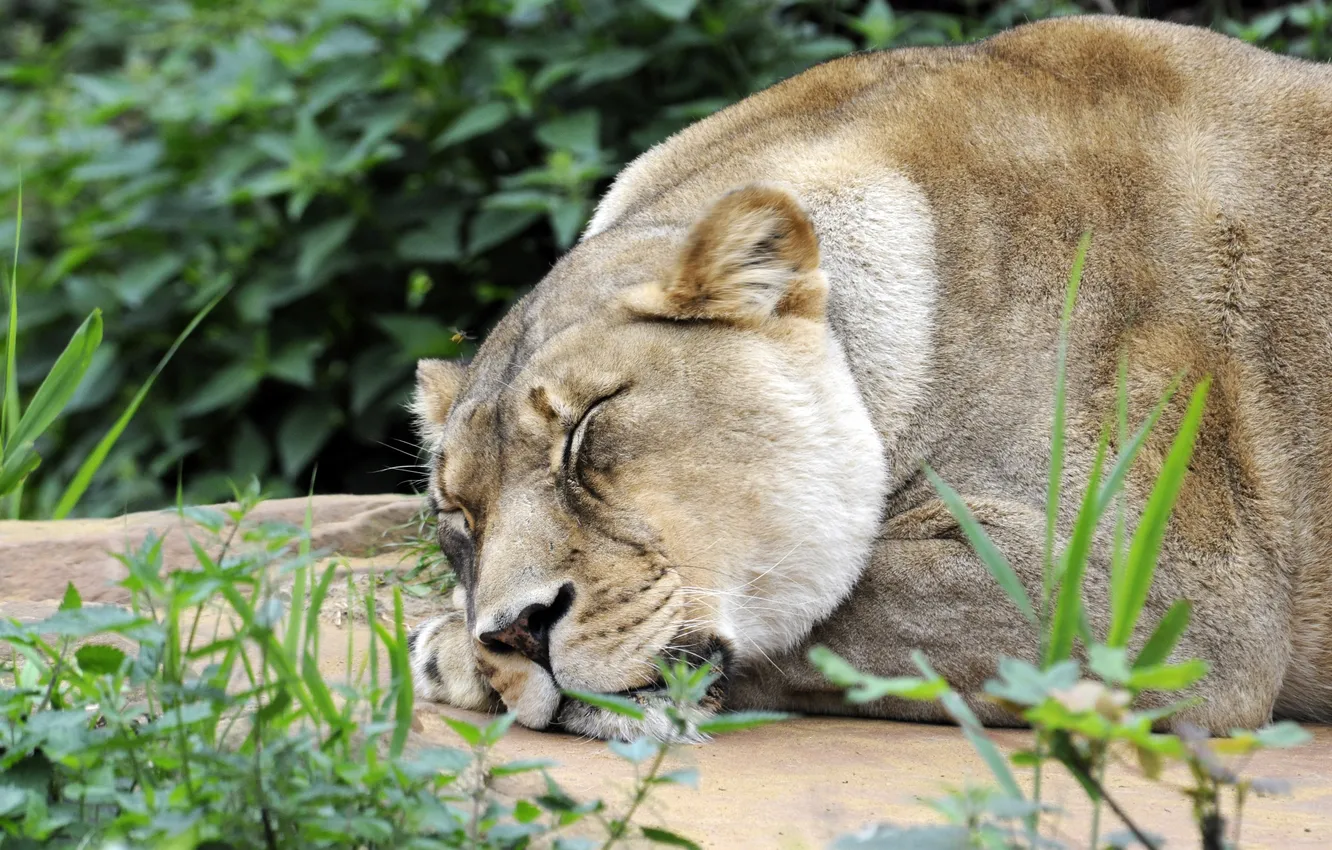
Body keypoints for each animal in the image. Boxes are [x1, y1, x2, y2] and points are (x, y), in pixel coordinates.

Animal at [405, 15, 1332, 740]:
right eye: (458, 516)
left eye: (588, 426)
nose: (517, 635)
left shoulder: (1166, 594)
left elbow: (849, 603)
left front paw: (447, 650)